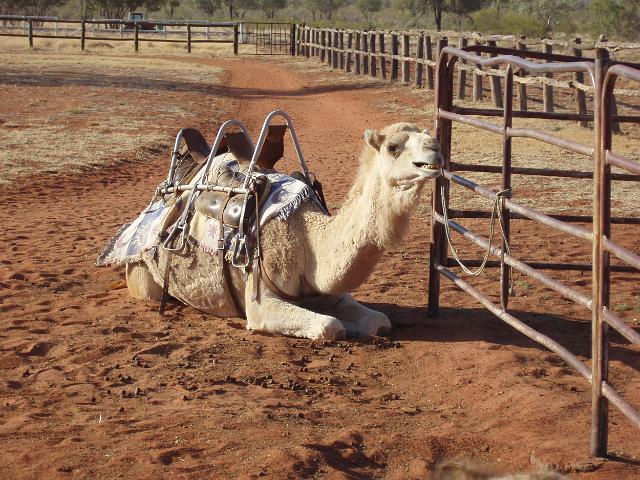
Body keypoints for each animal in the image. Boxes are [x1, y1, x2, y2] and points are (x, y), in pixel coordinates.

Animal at [125, 122, 442, 340]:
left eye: (426, 134)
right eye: (393, 147)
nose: (435, 149)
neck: (307, 239)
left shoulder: (334, 293)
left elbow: (379, 322)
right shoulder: (259, 303)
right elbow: (330, 326)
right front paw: (343, 326)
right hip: (142, 278)